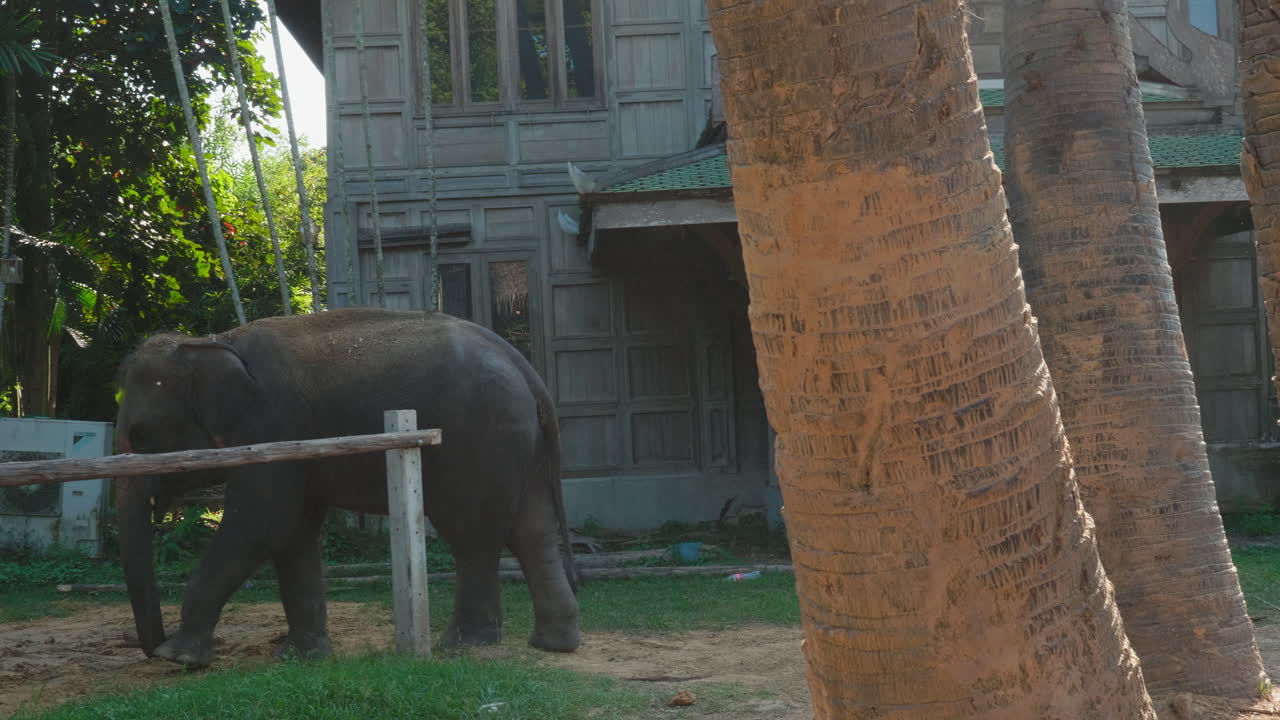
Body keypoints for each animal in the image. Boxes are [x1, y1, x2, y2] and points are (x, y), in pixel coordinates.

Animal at [113, 307, 580, 667]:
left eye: (141, 434)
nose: (149, 647)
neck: (212, 341)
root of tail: (525, 368)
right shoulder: (294, 443)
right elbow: (293, 530)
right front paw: (300, 657)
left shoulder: (272, 423)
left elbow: (261, 523)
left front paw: (180, 657)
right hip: (518, 440)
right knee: (532, 531)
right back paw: (553, 644)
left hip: (479, 436)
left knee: (472, 535)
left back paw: (462, 645)